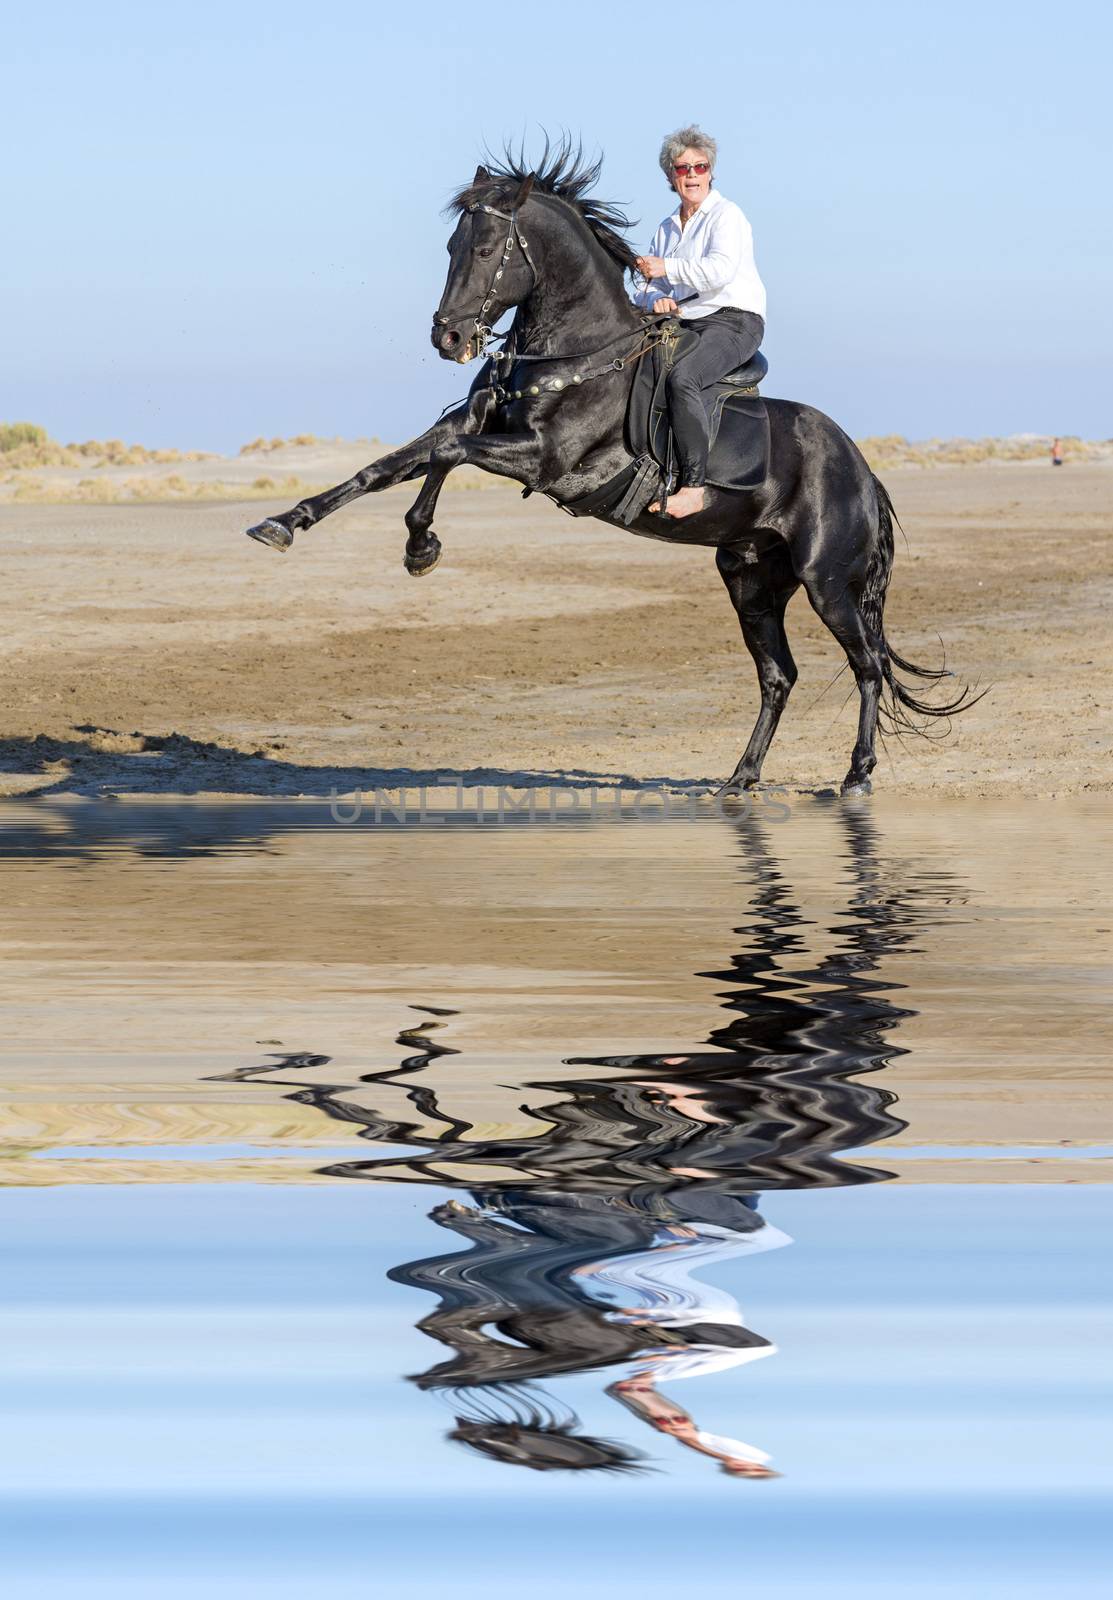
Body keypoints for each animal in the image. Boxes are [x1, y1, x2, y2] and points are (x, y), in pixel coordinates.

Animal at [247, 144, 978, 793]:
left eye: (484, 250)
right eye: (451, 248)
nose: (447, 337)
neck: (571, 349)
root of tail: (862, 471)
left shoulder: (543, 461)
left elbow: (444, 459)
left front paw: (420, 545)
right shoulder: (477, 428)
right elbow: (393, 464)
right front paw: (289, 523)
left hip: (827, 583)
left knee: (865, 665)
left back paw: (856, 775)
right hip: (749, 579)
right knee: (779, 676)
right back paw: (739, 778)